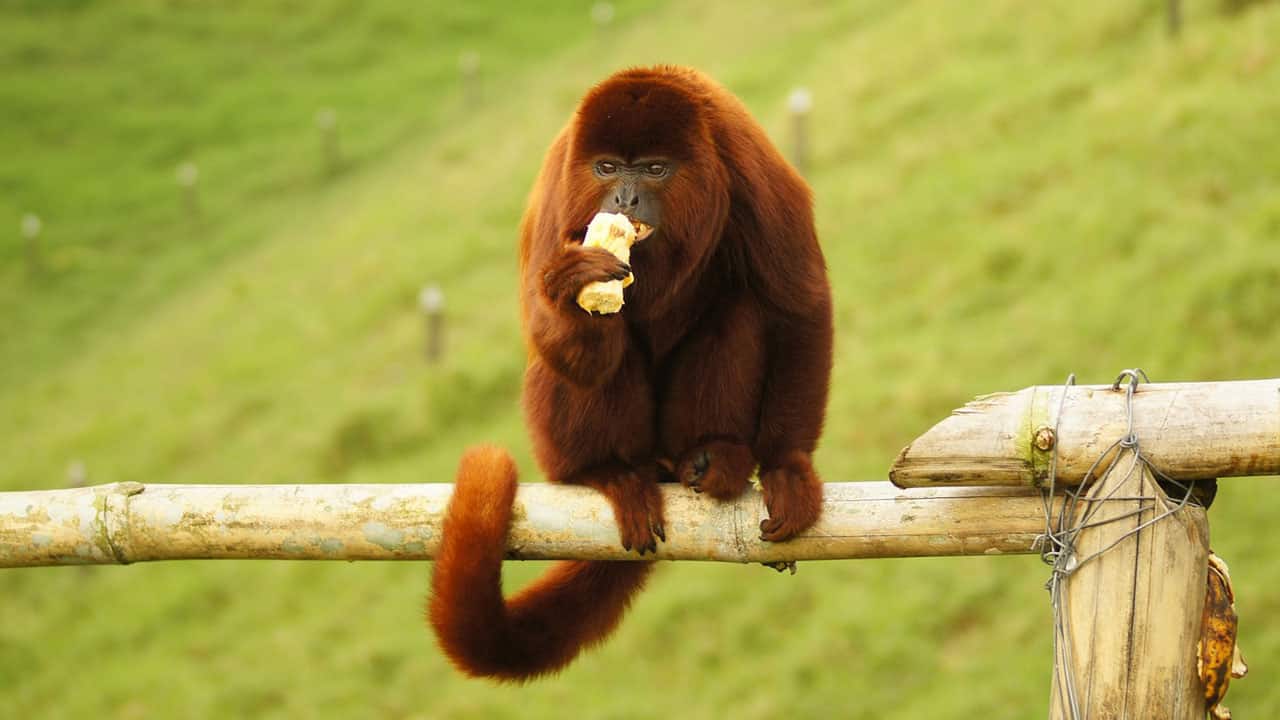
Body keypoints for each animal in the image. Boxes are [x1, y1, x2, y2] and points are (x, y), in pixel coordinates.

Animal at [424, 65, 834, 676]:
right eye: (608, 168)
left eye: (655, 169)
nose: (625, 196)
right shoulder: (560, 191)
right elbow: (553, 338)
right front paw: (577, 287)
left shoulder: (749, 164)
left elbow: (798, 304)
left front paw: (786, 466)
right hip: (566, 446)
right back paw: (607, 472)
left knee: (738, 305)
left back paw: (713, 456)